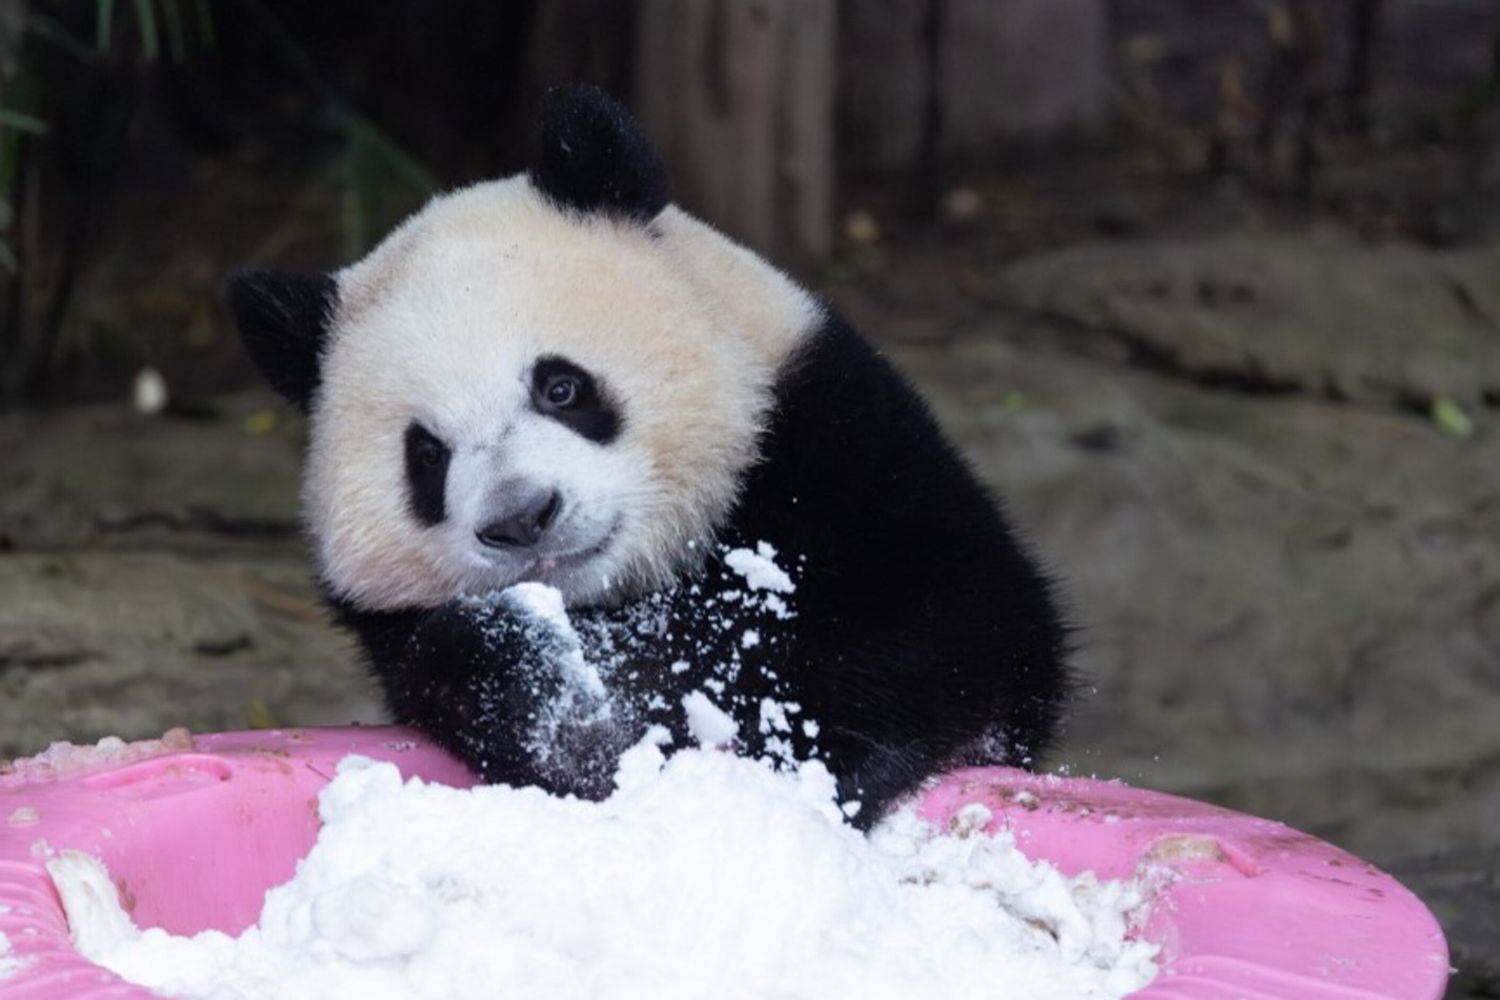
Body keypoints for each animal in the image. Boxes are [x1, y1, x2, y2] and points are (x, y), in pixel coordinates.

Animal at [228, 84, 1069, 827]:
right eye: (427, 456)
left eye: (561, 387)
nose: (522, 518)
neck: (647, 589)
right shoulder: (399, 632)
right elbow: (524, 714)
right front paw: (534, 674)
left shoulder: (841, 448)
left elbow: (949, 633)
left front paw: (790, 767)